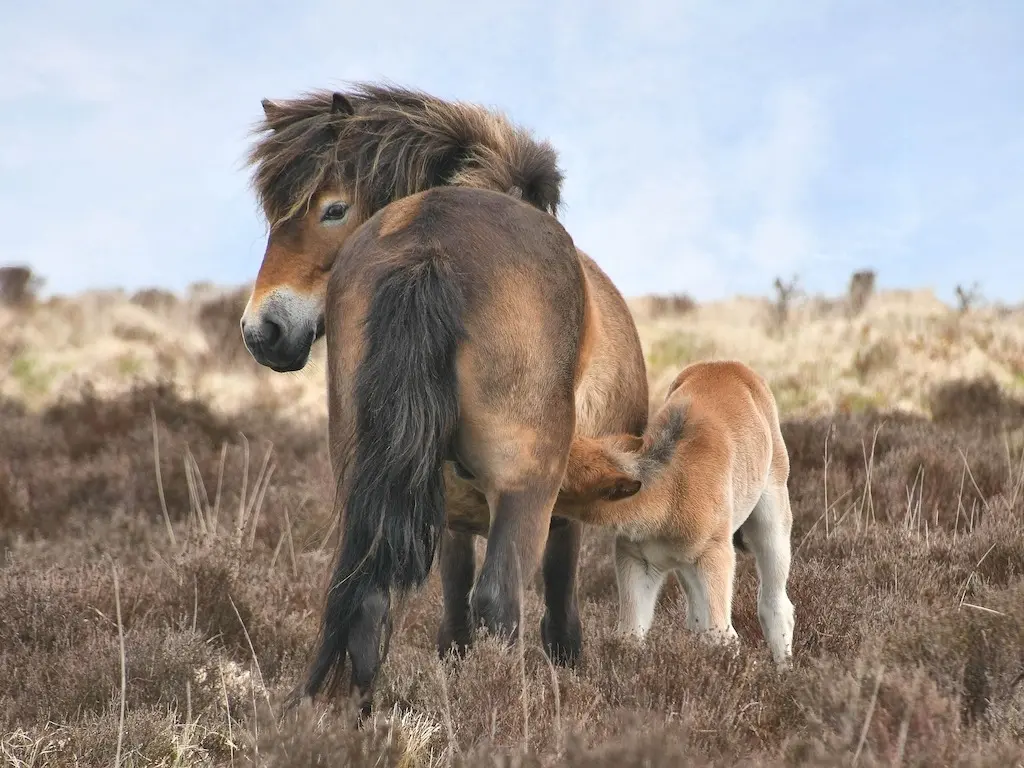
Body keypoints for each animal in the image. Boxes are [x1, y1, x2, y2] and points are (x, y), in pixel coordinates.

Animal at [239, 82, 647, 716]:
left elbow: (450, 616)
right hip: (527, 487)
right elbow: (554, 607)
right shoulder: (559, 510)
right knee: (500, 602)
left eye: (333, 209)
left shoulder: (450, 510)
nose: (263, 331)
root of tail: (428, 244)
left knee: (366, 596)